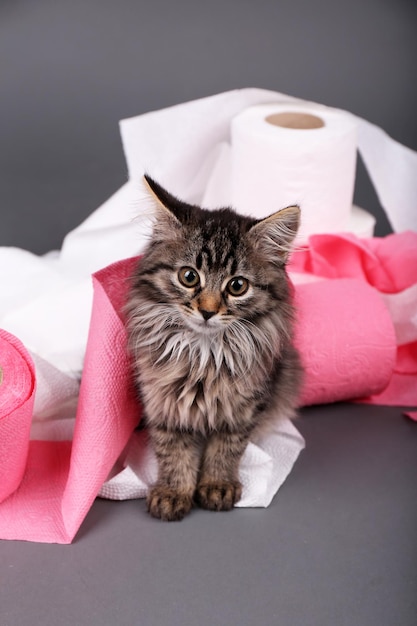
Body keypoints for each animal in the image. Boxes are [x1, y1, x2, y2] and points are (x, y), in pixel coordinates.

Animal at [125, 173, 300, 520]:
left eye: (237, 286)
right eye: (189, 277)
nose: (207, 311)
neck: (204, 354)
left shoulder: (244, 407)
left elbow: (226, 449)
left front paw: (217, 485)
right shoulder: (162, 401)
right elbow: (173, 450)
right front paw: (173, 492)